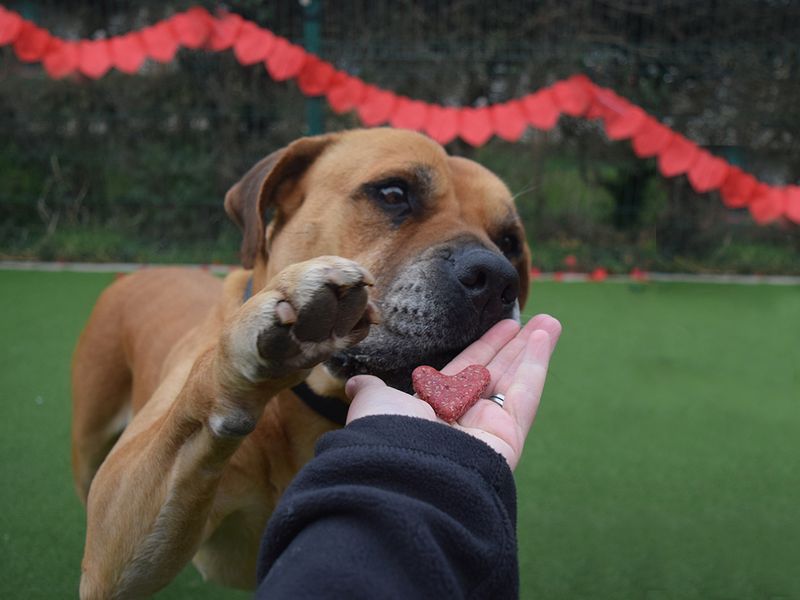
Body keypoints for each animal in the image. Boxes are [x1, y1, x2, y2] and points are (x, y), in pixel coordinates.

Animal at [70, 126, 532, 596]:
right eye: (393, 193)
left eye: (510, 242)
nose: (497, 280)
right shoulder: (112, 545)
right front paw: (258, 332)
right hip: (89, 444)